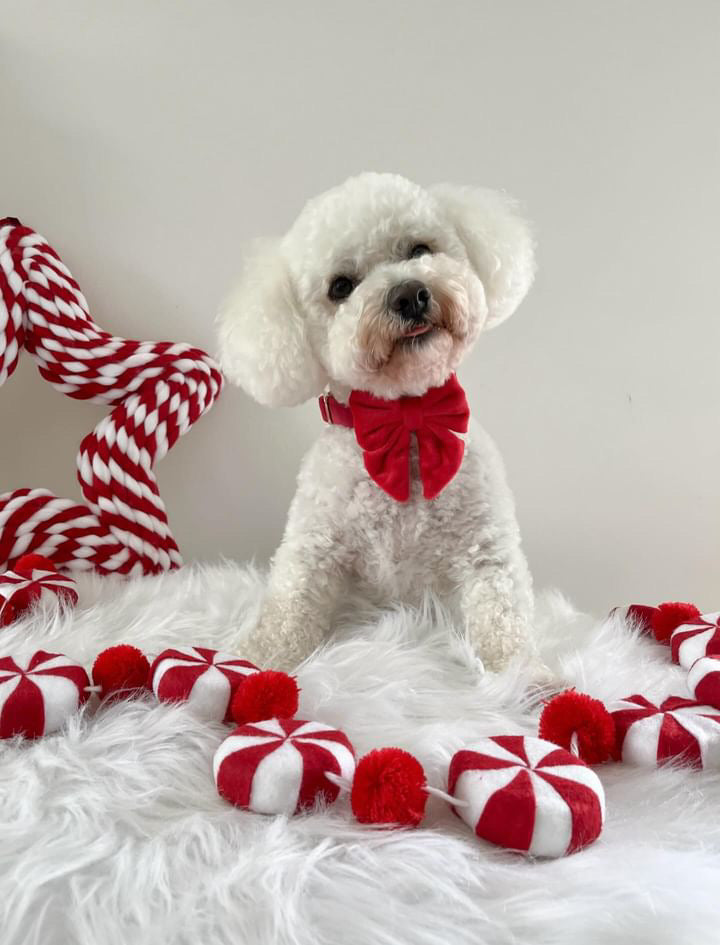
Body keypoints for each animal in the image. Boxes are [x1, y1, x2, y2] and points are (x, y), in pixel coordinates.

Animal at [219, 170, 540, 672]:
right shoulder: (314, 549)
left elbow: (503, 620)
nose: (409, 293)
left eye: (419, 249)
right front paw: (252, 662)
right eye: (340, 286)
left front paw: (528, 680)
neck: (404, 419)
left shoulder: (486, 550)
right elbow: (286, 611)